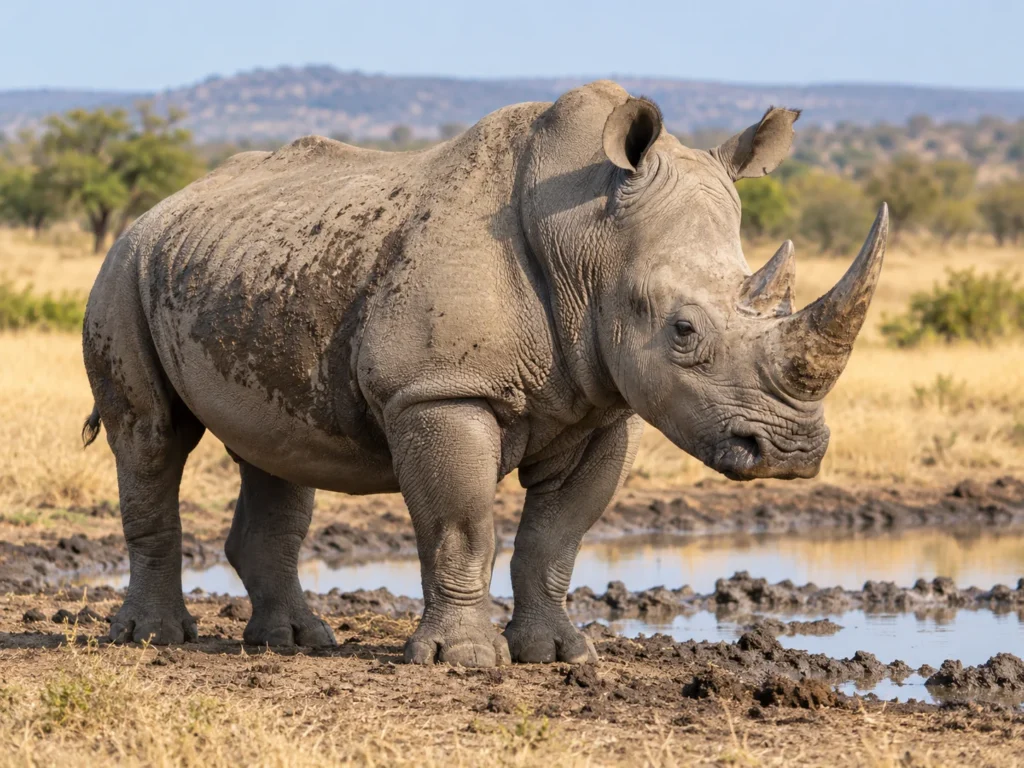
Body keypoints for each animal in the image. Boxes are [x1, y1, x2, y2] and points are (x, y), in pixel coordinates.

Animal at [82, 80, 886, 665]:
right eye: (684, 332)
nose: (791, 453)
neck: (590, 238)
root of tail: (163, 206)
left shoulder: (603, 405)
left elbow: (556, 535)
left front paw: (560, 656)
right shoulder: (439, 391)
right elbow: (463, 523)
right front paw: (464, 662)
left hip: (240, 267)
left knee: (275, 451)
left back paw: (292, 644)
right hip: (124, 267)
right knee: (150, 436)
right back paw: (154, 639)